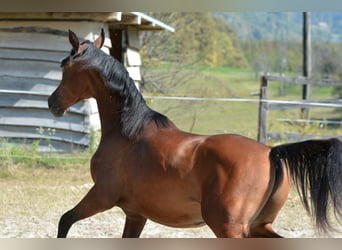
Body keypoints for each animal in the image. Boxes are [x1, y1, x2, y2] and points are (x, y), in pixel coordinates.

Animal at [48, 28, 342, 237]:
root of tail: (272, 153)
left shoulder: (101, 195)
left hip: (229, 228)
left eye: (64, 65)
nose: (53, 103)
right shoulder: (135, 215)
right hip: (260, 227)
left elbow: (64, 221)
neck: (126, 131)